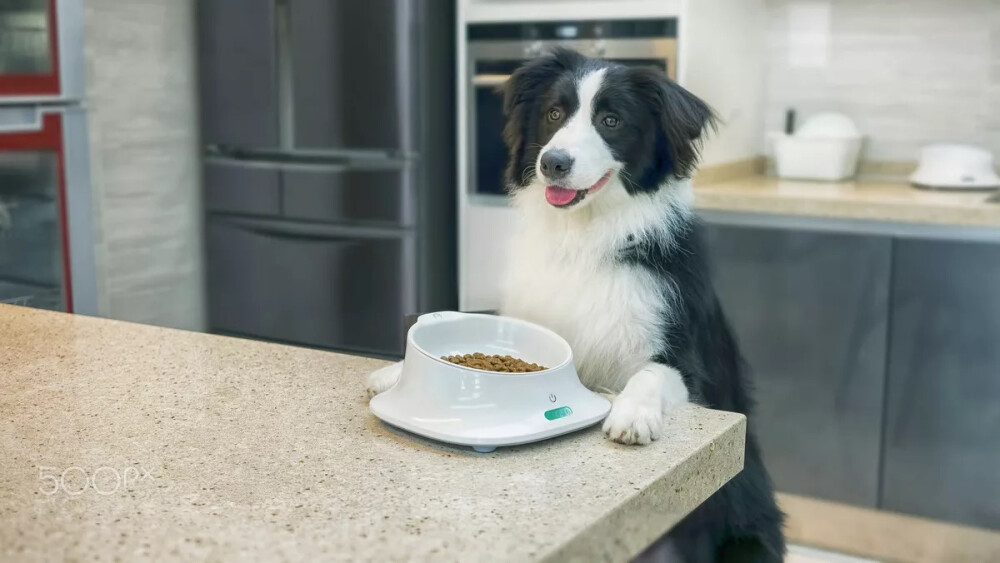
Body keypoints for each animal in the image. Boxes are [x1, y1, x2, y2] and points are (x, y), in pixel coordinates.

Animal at [372, 49, 784, 563]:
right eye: (554, 114)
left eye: (611, 120)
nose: (553, 163)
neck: (586, 233)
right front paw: (394, 371)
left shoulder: (685, 360)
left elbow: (652, 374)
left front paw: (631, 415)